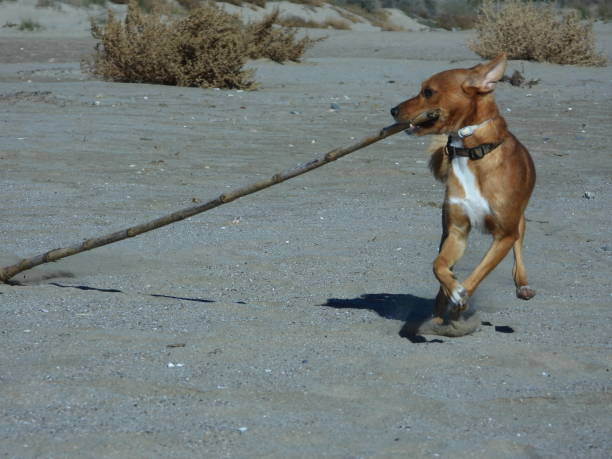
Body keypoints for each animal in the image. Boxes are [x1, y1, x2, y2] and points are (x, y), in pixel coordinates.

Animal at [392, 54, 536, 324]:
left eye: (428, 91)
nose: (392, 110)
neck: (473, 153)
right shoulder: (457, 231)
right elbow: (438, 266)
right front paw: (452, 293)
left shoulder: (504, 235)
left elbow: (478, 274)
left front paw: (460, 296)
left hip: (518, 222)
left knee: (519, 248)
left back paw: (522, 284)